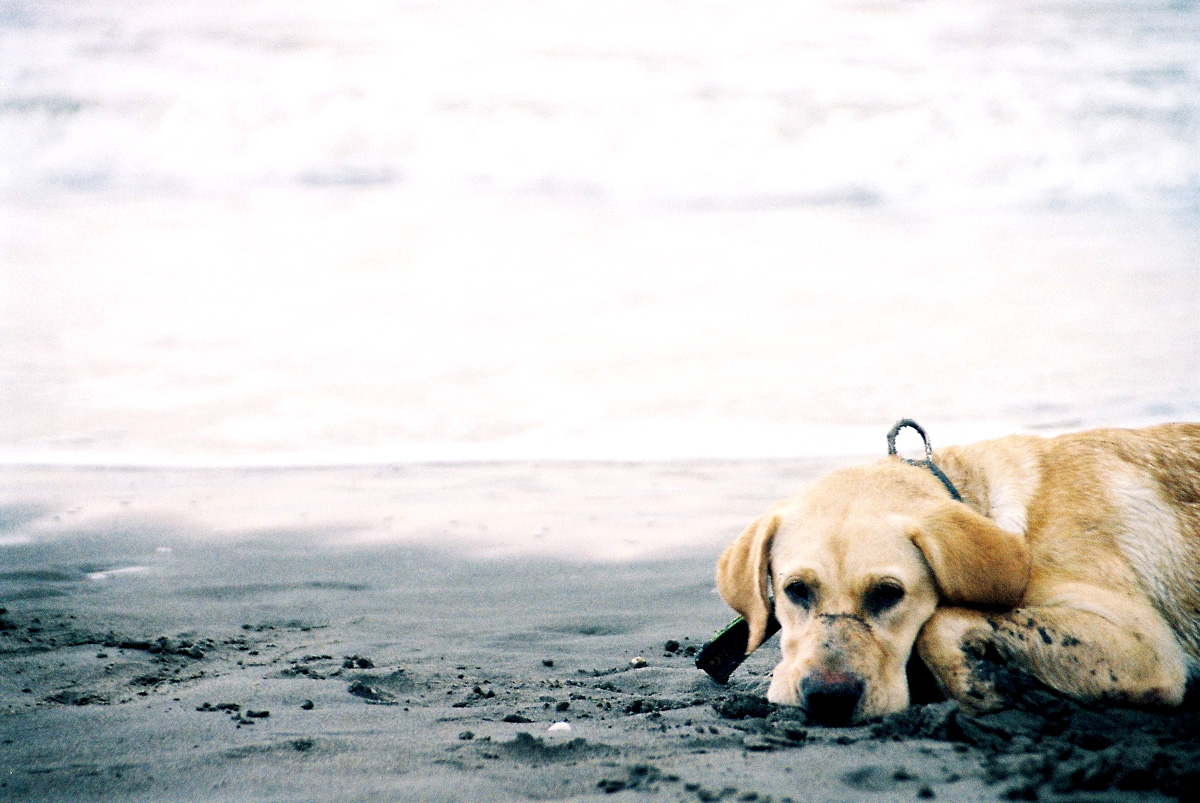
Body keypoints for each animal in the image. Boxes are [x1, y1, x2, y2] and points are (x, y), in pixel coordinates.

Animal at [700, 422, 1200, 724]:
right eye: (796, 590)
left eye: (888, 593)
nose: (828, 700)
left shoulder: (1147, 645)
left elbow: (938, 624)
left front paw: (983, 684)